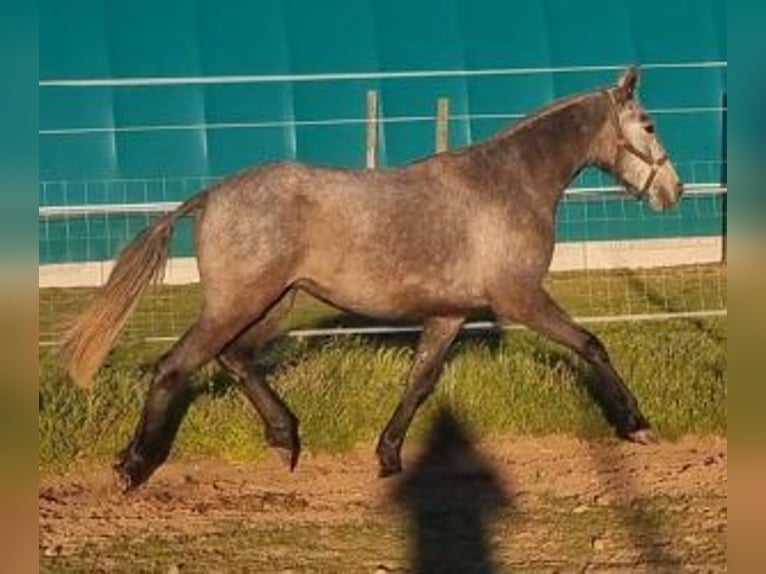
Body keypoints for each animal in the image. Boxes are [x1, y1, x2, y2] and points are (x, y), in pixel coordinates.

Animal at [61, 66, 684, 490]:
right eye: (650, 125)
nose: (672, 191)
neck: (510, 183)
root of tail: (211, 195)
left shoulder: (449, 314)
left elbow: (419, 382)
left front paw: (388, 456)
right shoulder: (521, 298)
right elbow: (591, 344)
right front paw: (638, 425)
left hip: (276, 303)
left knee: (234, 359)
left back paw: (285, 439)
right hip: (240, 303)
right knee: (174, 367)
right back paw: (133, 466)